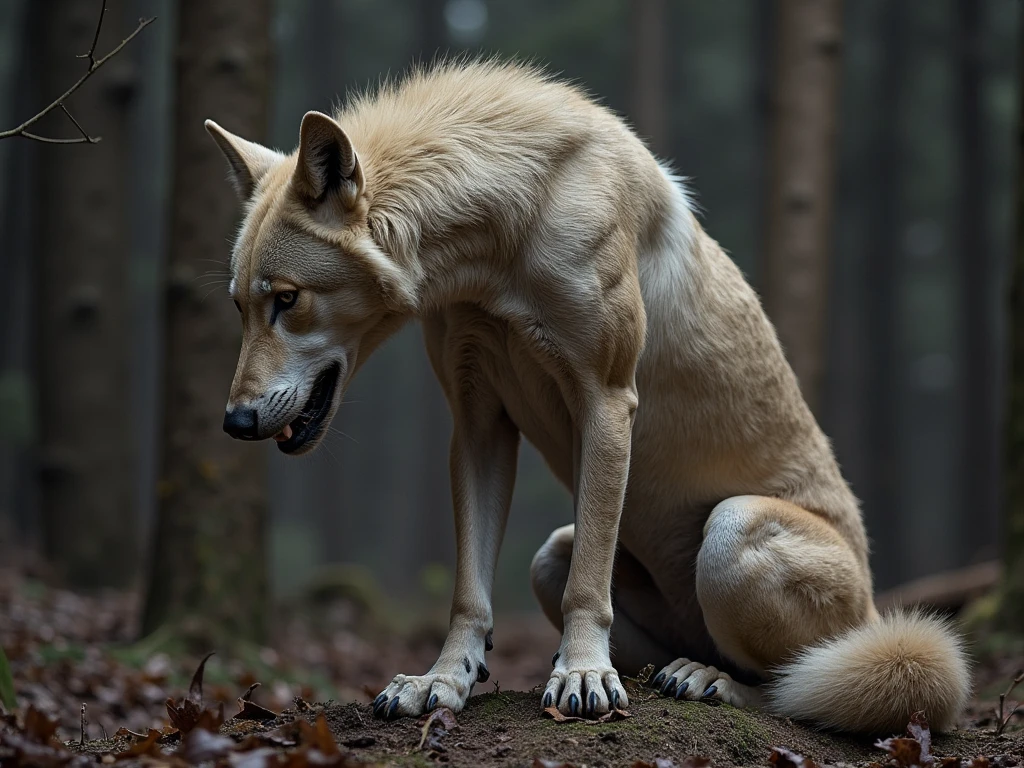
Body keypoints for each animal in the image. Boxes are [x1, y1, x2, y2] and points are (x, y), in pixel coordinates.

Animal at [207, 60, 969, 733]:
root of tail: (876, 614)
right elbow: (469, 592)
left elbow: (589, 585)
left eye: (287, 300)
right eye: (239, 306)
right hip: (552, 551)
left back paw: (711, 680)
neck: (504, 233)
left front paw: (580, 675)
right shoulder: (478, 425)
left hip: (736, 530)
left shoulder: (605, 400)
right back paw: (677, 670)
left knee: (793, 685)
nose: (235, 421)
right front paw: (442, 682)